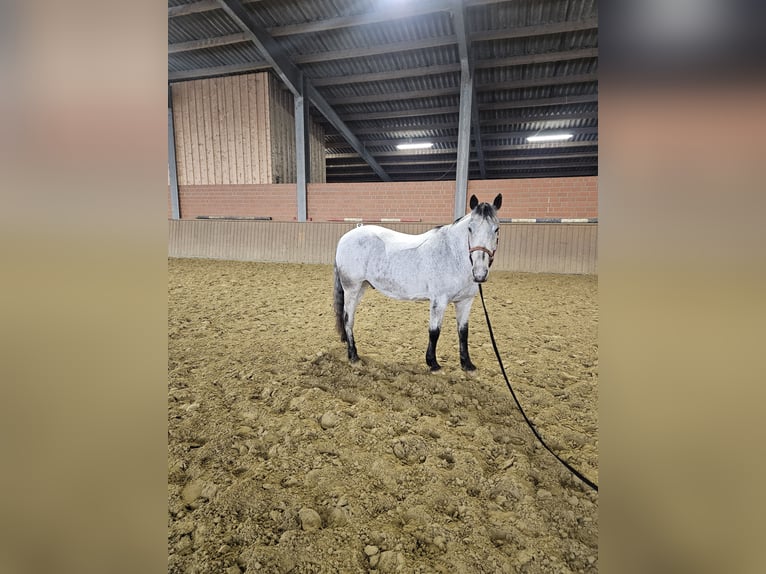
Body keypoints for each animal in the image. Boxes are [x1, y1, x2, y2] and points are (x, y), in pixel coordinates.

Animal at [332, 195, 504, 374]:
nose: (480, 273)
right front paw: (433, 364)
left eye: (496, 229)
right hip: (352, 288)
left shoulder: (465, 301)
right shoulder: (439, 300)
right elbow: (434, 331)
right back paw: (354, 356)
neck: (451, 254)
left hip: (361, 288)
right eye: (470, 229)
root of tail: (345, 238)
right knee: (348, 319)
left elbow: (463, 332)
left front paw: (467, 364)